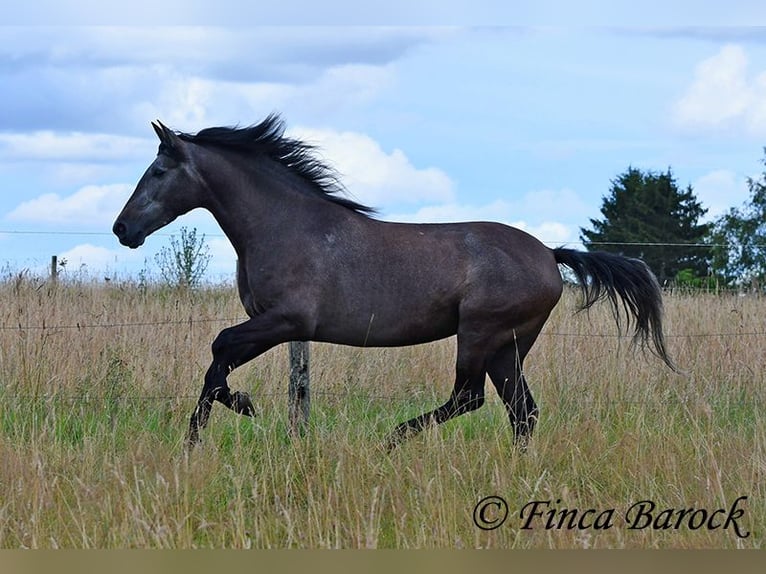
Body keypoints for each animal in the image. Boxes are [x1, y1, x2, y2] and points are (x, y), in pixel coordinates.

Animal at [111, 115, 676, 452]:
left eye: (158, 171)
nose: (122, 229)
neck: (283, 224)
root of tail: (549, 255)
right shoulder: (271, 324)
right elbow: (220, 360)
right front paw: (238, 409)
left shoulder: (286, 320)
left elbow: (219, 349)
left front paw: (204, 432)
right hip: (509, 345)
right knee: (522, 412)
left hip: (481, 334)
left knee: (470, 399)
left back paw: (393, 439)